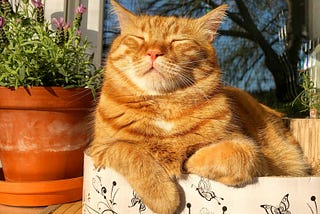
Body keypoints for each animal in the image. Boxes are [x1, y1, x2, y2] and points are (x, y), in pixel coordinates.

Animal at [88, 0, 310, 213]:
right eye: (139, 38)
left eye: (178, 41)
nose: (153, 53)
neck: (163, 103)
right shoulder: (98, 150)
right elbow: (130, 152)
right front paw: (164, 196)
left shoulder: (251, 150)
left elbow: (231, 154)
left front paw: (188, 162)